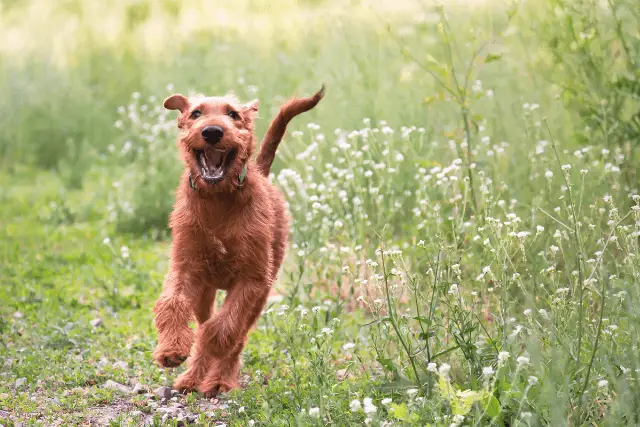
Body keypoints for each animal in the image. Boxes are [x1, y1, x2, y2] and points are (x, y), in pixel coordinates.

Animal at [151, 87, 324, 398]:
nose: (212, 131)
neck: (218, 198)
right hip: (205, 291)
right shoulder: (185, 267)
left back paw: (219, 380)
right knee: (205, 318)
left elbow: (224, 327)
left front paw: (209, 347)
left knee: (237, 334)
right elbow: (172, 303)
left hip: (262, 290)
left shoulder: (252, 279)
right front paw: (171, 348)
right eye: (195, 113)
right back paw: (192, 378)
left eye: (233, 114)